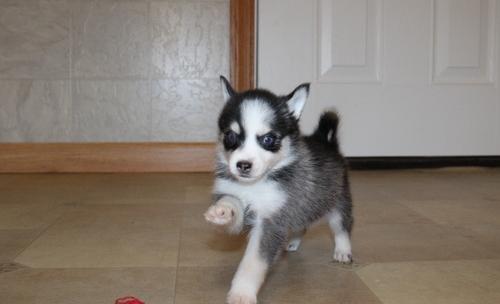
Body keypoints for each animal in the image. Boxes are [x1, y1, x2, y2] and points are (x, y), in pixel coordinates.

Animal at [205, 76, 354, 304]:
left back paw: (343, 250)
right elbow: (232, 206)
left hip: (336, 200)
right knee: (301, 224)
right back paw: (293, 241)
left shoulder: (270, 221)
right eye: (230, 135)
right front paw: (222, 211)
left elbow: (254, 261)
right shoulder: (238, 195)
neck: (256, 184)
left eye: (268, 139)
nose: (243, 165)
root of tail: (326, 141)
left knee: (341, 226)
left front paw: (242, 292)